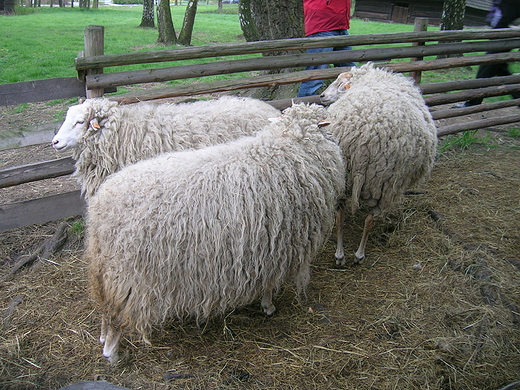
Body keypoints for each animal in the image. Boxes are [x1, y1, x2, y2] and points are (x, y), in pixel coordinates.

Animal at [84, 103, 346, 362]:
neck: (288, 147)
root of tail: (101, 208)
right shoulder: (280, 244)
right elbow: (270, 282)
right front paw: (269, 306)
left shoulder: (267, 245)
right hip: (128, 275)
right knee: (116, 313)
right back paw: (111, 352)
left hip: (106, 269)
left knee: (105, 306)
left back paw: (102, 337)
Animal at [320, 62, 438, 266]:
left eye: (339, 83)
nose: (322, 96)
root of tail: (361, 138)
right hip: (386, 182)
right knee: (370, 219)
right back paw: (359, 255)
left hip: (344, 176)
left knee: (340, 214)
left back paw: (340, 256)